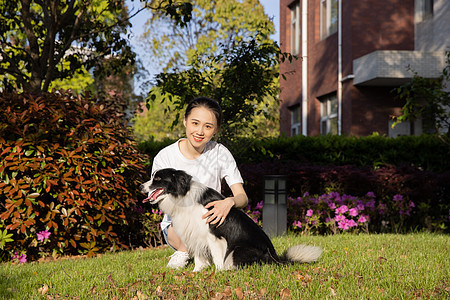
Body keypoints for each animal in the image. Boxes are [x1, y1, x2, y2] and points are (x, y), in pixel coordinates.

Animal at [141, 169, 320, 272]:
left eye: (157, 179)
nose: (141, 187)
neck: (183, 195)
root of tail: (275, 258)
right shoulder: (196, 233)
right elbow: (199, 256)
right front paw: (197, 272)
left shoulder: (213, 235)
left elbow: (217, 256)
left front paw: (219, 273)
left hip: (239, 249)